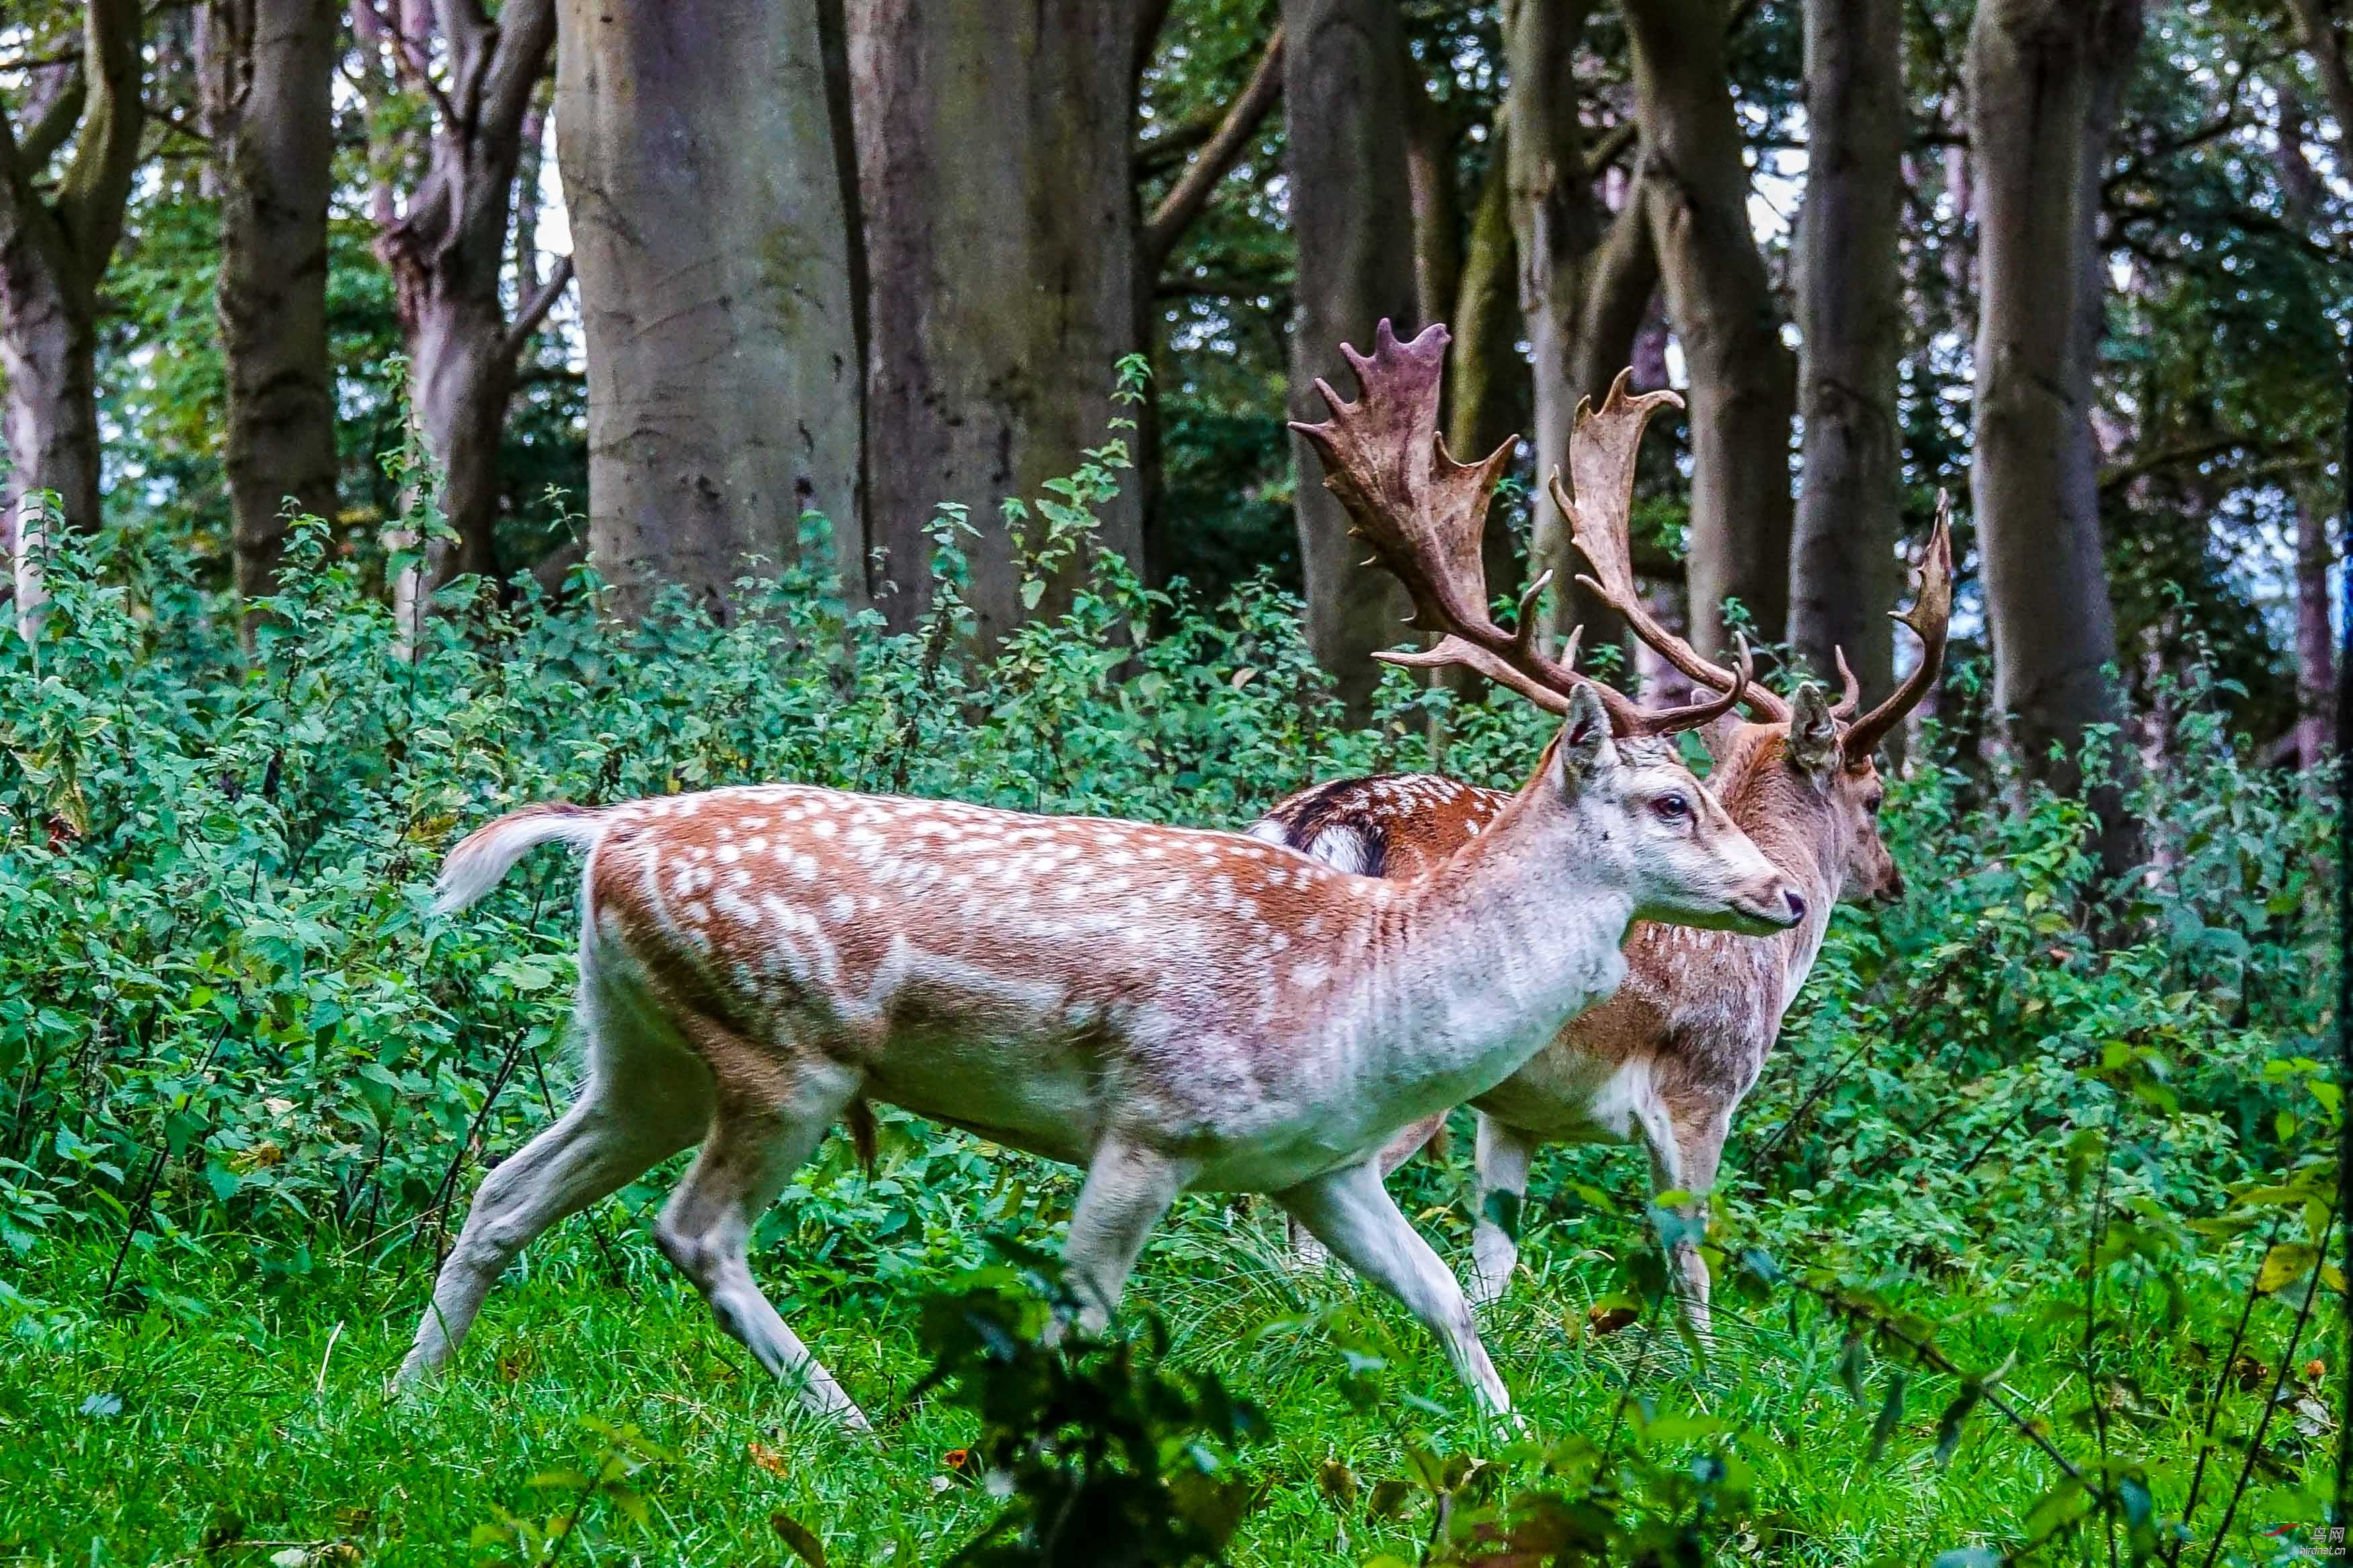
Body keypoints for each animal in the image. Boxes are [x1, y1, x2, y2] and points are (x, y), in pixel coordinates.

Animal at [400, 324, 1798, 1429]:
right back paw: (850, 1421)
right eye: (1672, 801)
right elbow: (1081, 1311)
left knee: (507, 1186)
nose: (1785, 895)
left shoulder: (1321, 1160)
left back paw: (403, 1398)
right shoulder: (1152, 1122)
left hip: (640, 1043)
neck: (1376, 995)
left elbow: (1448, 1293)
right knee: (695, 1232)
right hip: (777, 1048)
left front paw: (1508, 1436)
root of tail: (608, 831)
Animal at [1261, 371, 1958, 1335]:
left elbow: (1496, 1261)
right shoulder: (1703, 1089)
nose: (1891, 879)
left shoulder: (1515, 1113)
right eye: (1876, 797)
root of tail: (1330, 817)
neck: (1772, 973)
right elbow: (1691, 1266)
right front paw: (1703, 1362)